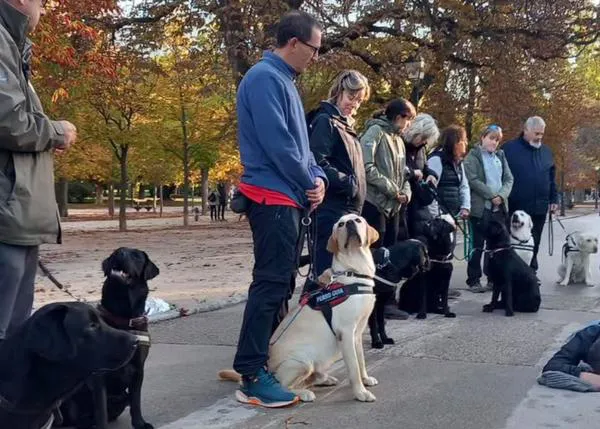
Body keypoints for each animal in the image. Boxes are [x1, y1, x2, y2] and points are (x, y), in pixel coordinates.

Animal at [58, 247, 159, 428]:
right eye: (116, 252)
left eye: (136, 256)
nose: (120, 253)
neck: (122, 316)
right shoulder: (99, 375)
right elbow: (101, 410)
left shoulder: (139, 369)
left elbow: (136, 401)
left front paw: (140, 423)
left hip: (122, 396)